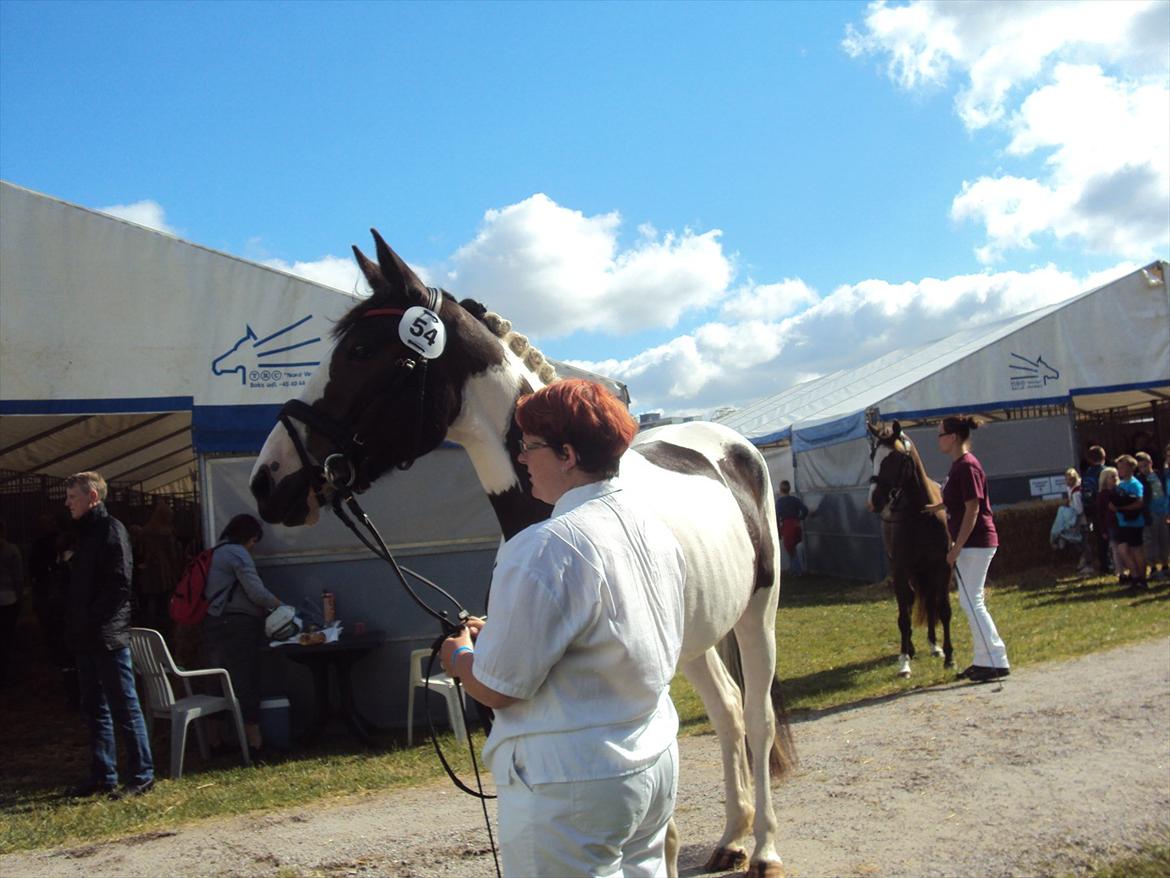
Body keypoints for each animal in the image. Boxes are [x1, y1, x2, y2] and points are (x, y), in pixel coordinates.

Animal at [246, 230, 795, 875]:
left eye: (358, 351)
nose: (266, 480)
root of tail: (731, 444)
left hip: (758, 612)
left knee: (756, 716)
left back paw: (763, 848)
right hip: (697, 637)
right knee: (728, 710)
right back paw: (732, 837)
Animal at [865, 423, 954, 678]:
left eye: (895, 459)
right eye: (873, 457)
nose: (874, 500)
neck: (921, 514)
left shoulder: (943, 566)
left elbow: (943, 609)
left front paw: (949, 656)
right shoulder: (901, 568)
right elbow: (904, 617)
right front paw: (904, 662)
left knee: (930, 601)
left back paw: (934, 646)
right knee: (909, 602)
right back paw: (911, 649)